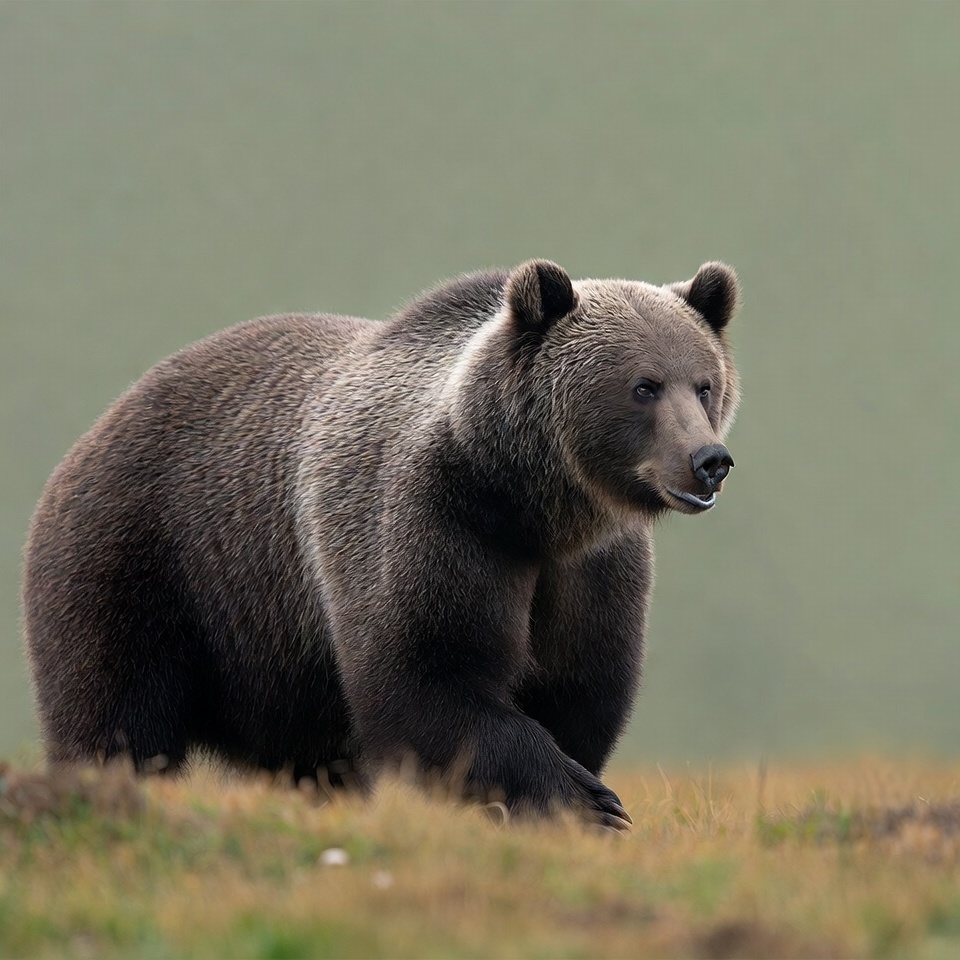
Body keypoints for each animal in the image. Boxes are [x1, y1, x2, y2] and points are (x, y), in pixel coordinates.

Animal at [22, 259, 740, 829]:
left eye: (705, 383)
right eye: (644, 385)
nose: (708, 461)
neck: (529, 502)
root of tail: (97, 428)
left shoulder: (591, 569)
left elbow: (579, 687)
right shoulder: (428, 521)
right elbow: (424, 674)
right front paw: (585, 800)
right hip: (148, 560)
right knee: (116, 712)